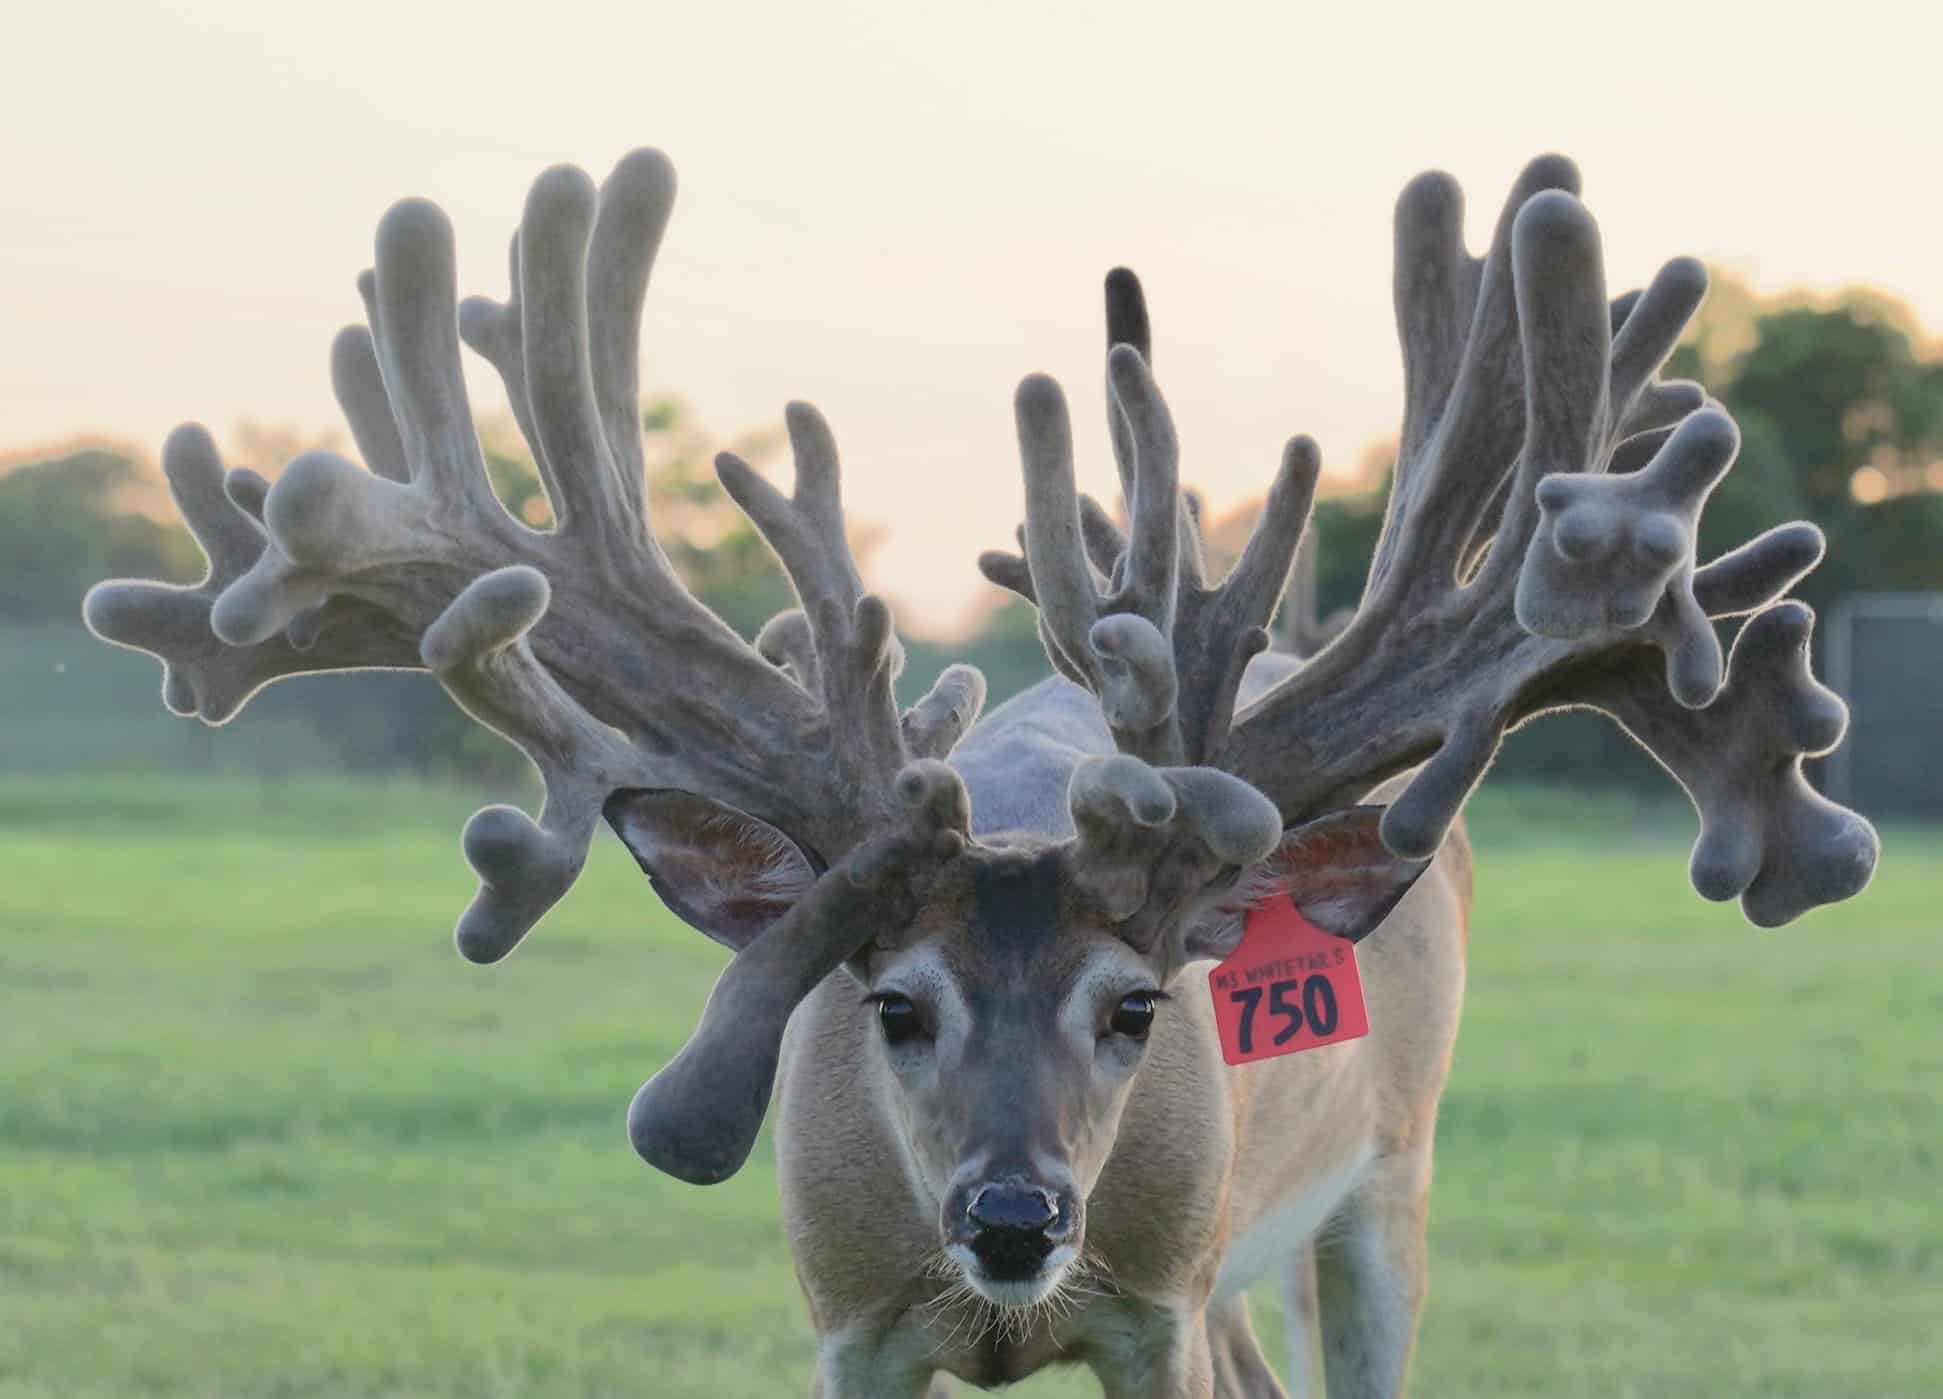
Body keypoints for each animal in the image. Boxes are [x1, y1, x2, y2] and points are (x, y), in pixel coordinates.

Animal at [83, 146, 1879, 1398]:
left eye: (1135, 1003)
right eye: (892, 1001)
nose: (1013, 1217)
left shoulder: (1157, 1303)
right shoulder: (850, 1318)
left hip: (1388, 1173)